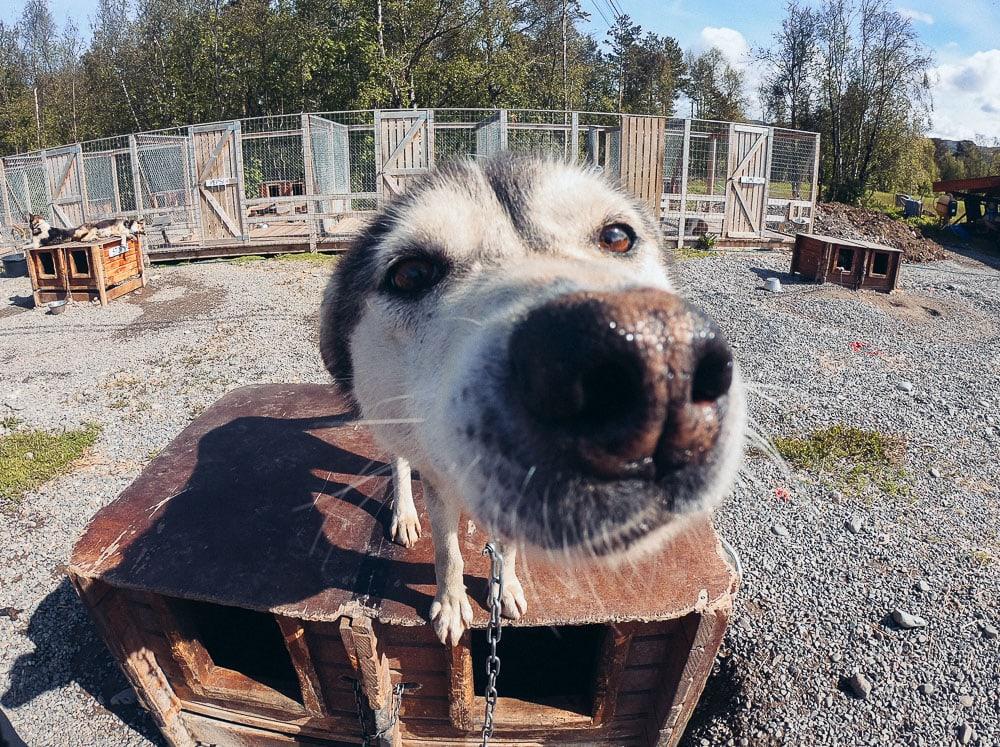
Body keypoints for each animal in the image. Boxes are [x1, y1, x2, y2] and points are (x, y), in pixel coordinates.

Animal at [318, 155, 744, 644]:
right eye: (409, 273)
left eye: (618, 236)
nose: (658, 363)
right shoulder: (440, 482)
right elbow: (448, 551)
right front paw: (451, 603)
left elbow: (506, 548)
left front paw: (505, 588)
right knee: (399, 461)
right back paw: (405, 512)